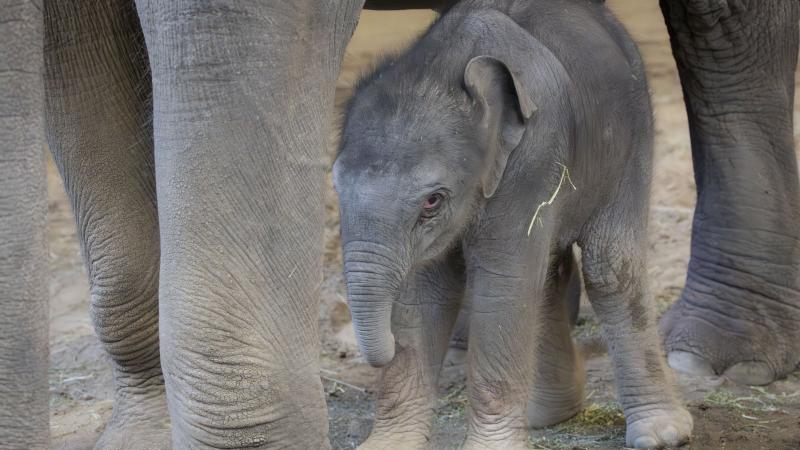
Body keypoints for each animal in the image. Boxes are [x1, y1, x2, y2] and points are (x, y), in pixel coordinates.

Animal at [334, 0, 692, 450]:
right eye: (336, 186)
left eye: (432, 201)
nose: (383, 349)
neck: (448, 66)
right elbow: (425, 291)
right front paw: (387, 445)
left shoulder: (534, 154)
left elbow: (503, 282)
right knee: (550, 275)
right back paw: (549, 415)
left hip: (634, 135)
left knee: (609, 268)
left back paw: (661, 433)